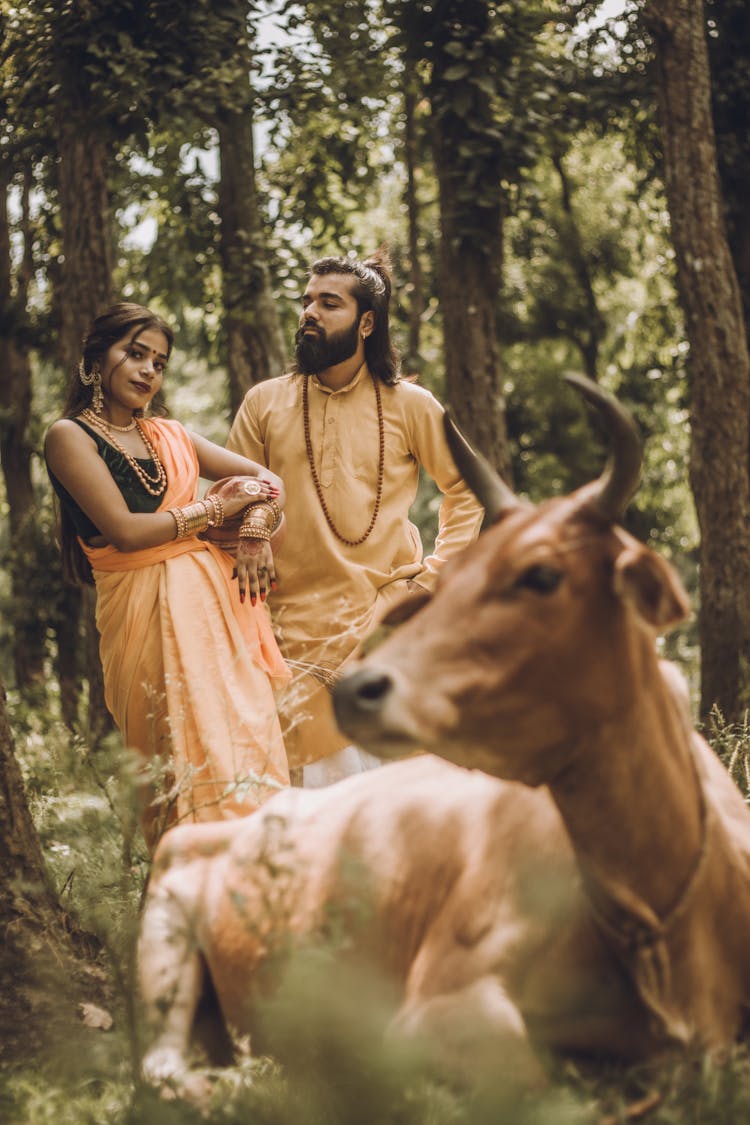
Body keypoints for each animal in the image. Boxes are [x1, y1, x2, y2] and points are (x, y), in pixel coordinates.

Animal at [137, 373, 750, 1102]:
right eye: (451, 583)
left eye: (542, 574)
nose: (357, 689)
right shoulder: (437, 1011)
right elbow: (541, 1088)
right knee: (166, 1067)